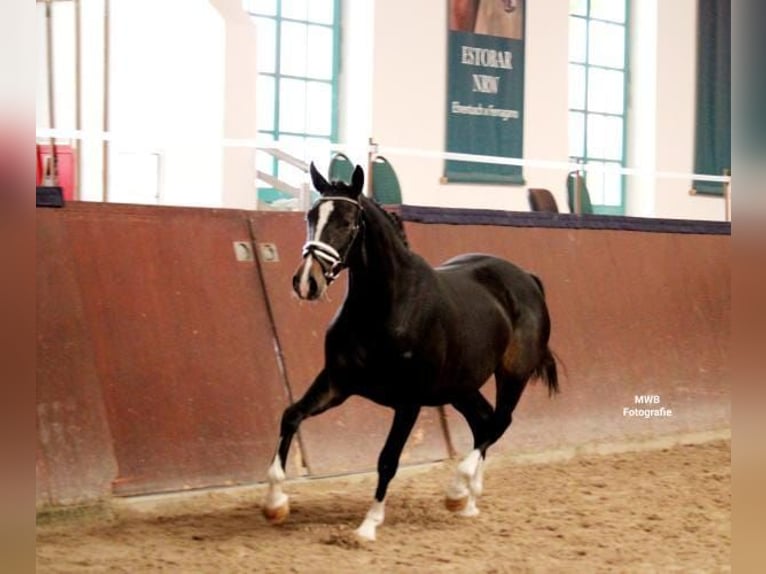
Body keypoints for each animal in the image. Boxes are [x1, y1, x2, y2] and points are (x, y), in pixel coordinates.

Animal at [262, 163, 558, 541]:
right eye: (312, 215)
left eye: (347, 221)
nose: (306, 282)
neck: (386, 308)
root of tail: (527, 279)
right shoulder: (337, 383)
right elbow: (291, 416)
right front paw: (275, 504)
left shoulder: (409, 402)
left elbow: (388, 459)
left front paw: (368, 525)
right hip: (460, 386)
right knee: (484, 422)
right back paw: (469, 500)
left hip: (512, 375)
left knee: (499, 422)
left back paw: (458, 491)